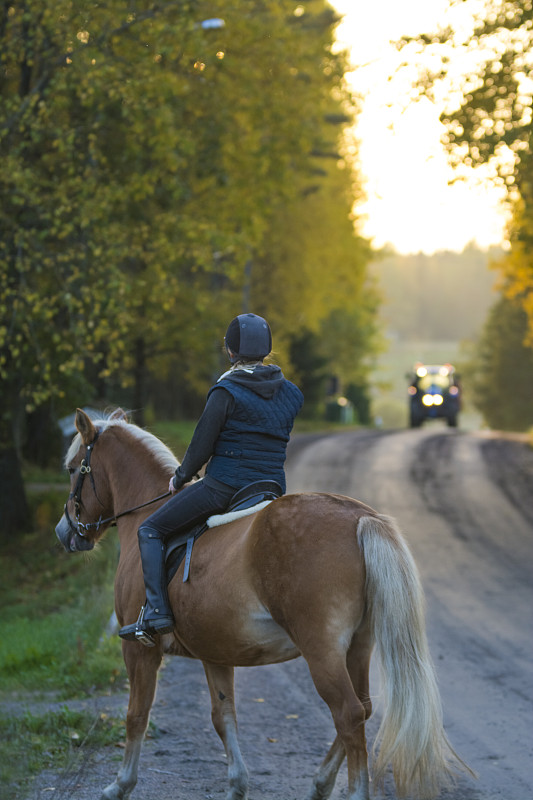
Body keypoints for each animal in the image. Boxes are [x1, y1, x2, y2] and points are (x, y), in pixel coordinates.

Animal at [54, 410, 470, 800]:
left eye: (74, 468)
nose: (65, 533)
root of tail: (360, 517)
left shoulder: (139, 650)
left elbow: (136, 715)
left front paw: (119, 785)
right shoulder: (215, 653)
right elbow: (223, 716)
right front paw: (237, 785)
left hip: (322, 652)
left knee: (349, 714)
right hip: (358, 646)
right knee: (364, 708)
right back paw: (319, 783)